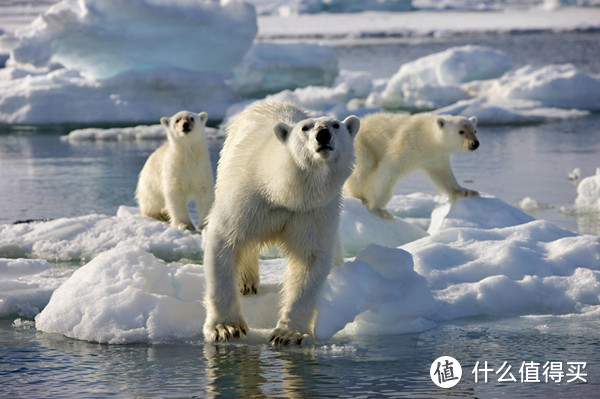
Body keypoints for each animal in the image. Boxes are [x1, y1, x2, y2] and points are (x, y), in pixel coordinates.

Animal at [204, 102, 358, 346]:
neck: (284, 193)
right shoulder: (249, 198)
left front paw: (289, 334)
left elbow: (309, 260)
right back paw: (246, 283)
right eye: (305, 128)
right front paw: (226, 328)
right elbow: (225, 240)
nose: (323, 134)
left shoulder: (313, 212)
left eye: (336, 125)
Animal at [344, 111, 480, 219]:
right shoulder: (407, 143)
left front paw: (467, 192)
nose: (475, 143)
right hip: (361, 145)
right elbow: (387, 171)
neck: (427, 137)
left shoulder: (436, 157)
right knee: (362, 168)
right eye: (461, 131)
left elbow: (443, 175)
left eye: (475, 131)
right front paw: (378, 209)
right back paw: (358, 196)